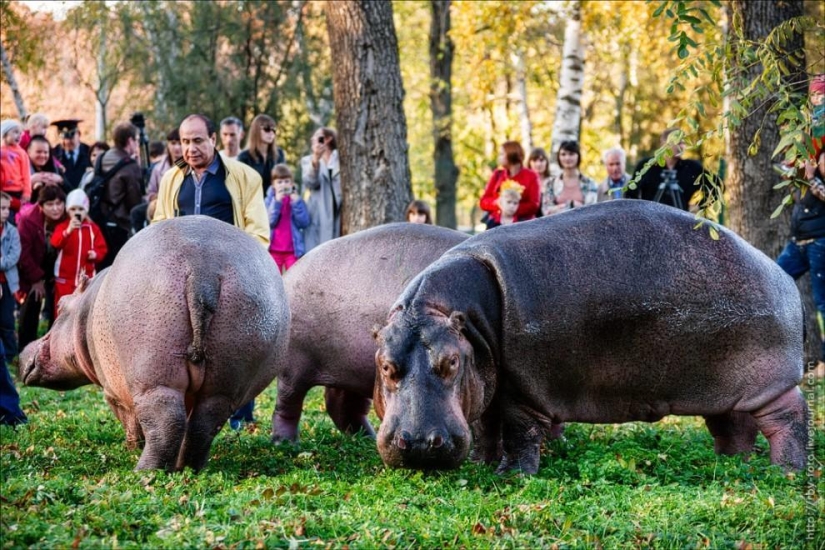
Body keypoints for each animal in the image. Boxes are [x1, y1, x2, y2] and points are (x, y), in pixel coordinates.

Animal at [20, 218, 290, 472]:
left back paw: (143, 472)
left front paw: (131, 448)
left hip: (154, 379)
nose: (23, 353)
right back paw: (188, 468)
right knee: (203, 425)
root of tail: (204, 270)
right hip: (226, 378)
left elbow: (131, 422)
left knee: (165, 422)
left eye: (60, 304)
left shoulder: (113, 391)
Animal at [270, 223, 464, 444]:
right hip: (295, 368)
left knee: (342, 404)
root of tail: (288, 273)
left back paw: (367, 438)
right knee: (288, 404)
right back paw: (286, 442)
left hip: (352, 369)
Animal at [374, 201, 804, 476]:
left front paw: (510, 476)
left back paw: (786, 472)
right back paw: (731, 463)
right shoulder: (487, 381)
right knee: (734, 424)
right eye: (385, 365)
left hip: (770, 379)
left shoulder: (522, 388)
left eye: (451, 362)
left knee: (788, 417)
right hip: (724, 385)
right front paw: (482, 464)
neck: (453, 314)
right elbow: (484, 426)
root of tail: (781, 274)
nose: (418, 443)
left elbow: (518, 431)